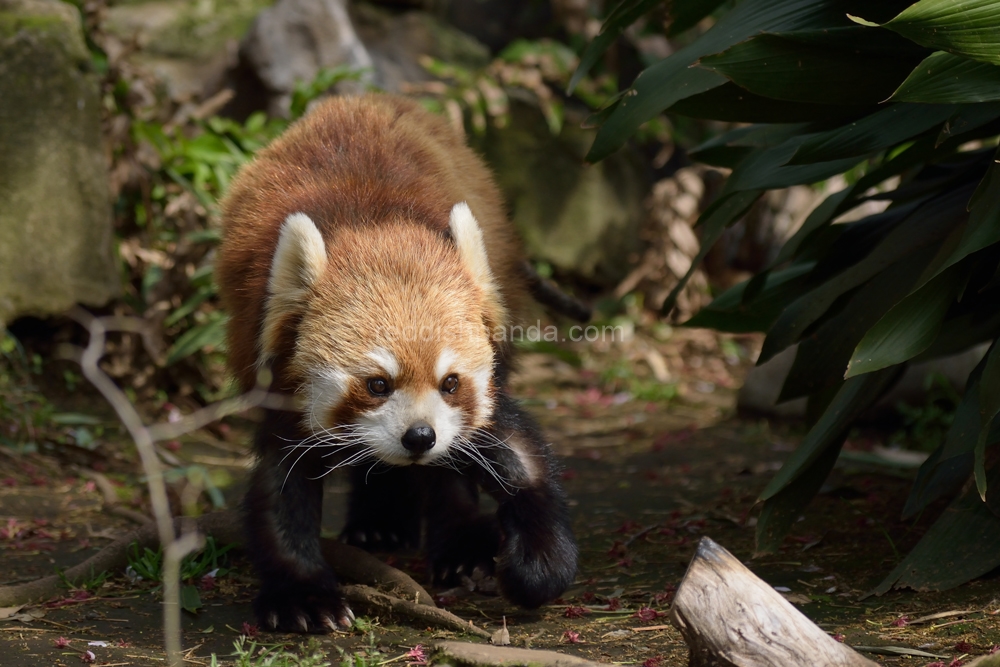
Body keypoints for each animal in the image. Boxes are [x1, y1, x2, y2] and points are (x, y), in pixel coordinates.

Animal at [219, 92, 580, 632]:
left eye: (450, 382)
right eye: (377, 384)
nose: (420, 437)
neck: (376, 225)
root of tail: (361, 98)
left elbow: (516, 455)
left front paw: (537, 563)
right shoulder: (275, 371)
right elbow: (281, 489)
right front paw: (302, 595)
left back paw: (456, 546)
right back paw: (380, 526)